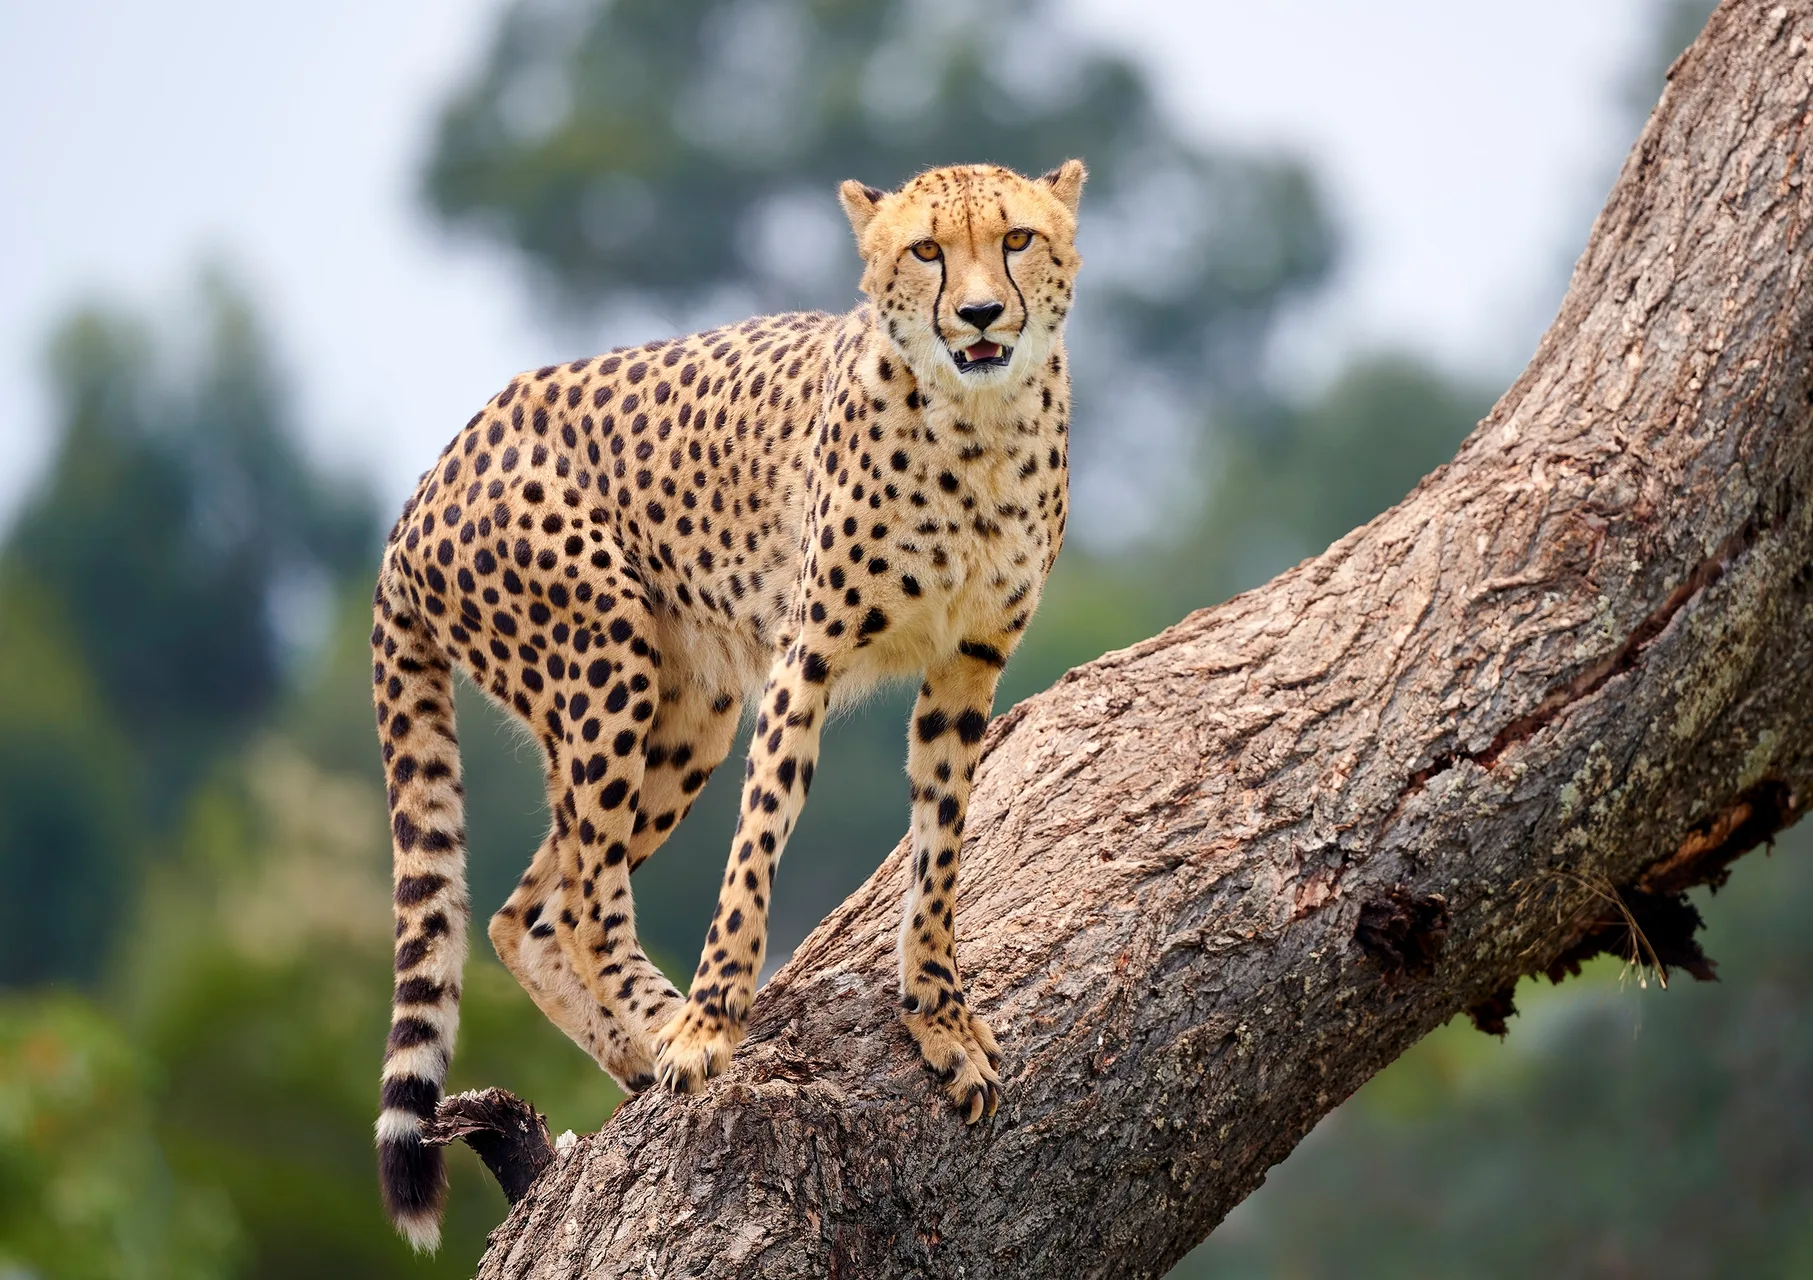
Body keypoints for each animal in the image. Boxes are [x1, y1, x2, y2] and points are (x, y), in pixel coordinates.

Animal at [370, 159, 1085, 1250]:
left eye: (1016, 239)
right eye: (926, 249)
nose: (977, 314)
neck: (980, 423)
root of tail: (425, 484)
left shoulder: (967, 665)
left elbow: (940, 850)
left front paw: (939, 1016)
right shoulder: (805, 655)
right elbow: (756, 851)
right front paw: (711, 1024)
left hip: (689, 708)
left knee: (523, 912)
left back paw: (634, 1052)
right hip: (604, 659)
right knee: (584, 898)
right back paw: (668, 1024)